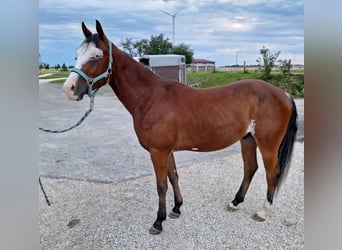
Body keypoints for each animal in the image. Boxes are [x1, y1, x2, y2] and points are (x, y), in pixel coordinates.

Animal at [63, 21, 296, 234]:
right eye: (76, 55)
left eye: (96, 56)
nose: (69, 89)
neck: (151, 98)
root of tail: (283, 93)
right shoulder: (167, 151)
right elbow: (173, 176)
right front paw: (176, 209)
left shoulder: (158, 151)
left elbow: (161, 185)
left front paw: (158, 221)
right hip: (247, 139)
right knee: (250, 168)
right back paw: (235, 202)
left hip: (267, 144)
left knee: (272, 172)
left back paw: (263, 211)